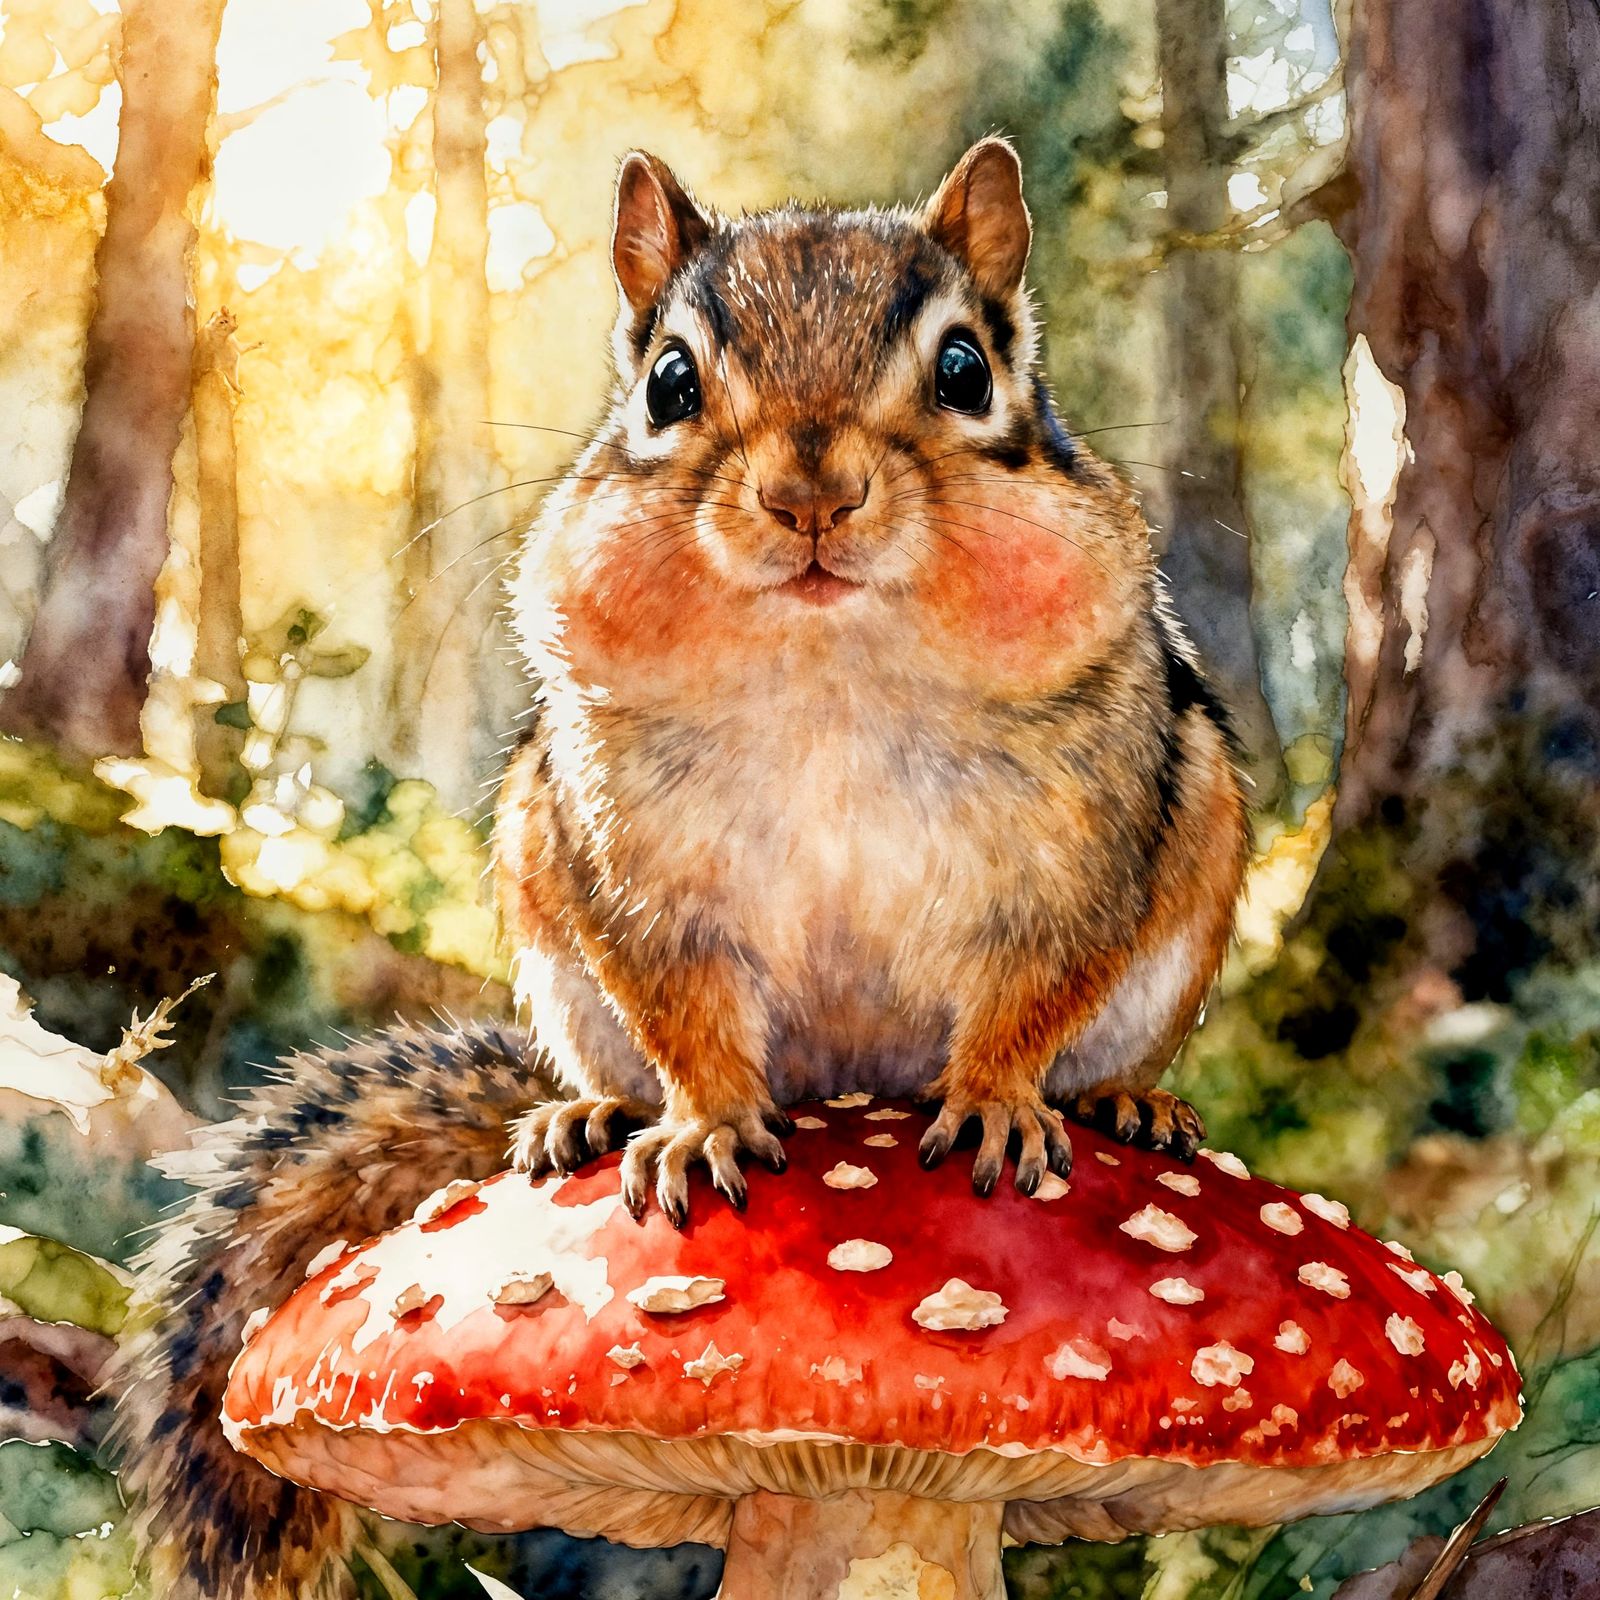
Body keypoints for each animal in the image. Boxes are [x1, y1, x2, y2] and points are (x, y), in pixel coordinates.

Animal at [111, 139, 1249, 1600]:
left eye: (964, 369)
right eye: (668, 382)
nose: (811, 497)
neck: (828, 672)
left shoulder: (1088, 831)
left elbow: (1041, 978)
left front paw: (999, 1099)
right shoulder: (628, 854)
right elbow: (681, 1003)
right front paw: (699, 1124)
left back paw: (1126, 1103)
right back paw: (588, 1118)